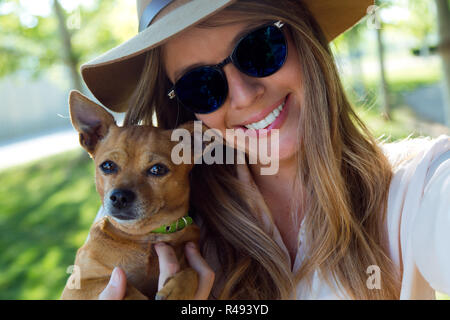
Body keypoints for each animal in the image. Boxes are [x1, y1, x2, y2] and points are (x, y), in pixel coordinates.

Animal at [60, 90, 211, 300]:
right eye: (107, 166)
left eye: (157, 169)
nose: (119, 197)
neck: (146, 237)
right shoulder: (77, 287)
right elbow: (124, 286)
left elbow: (193, 272)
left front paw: (177, 291)